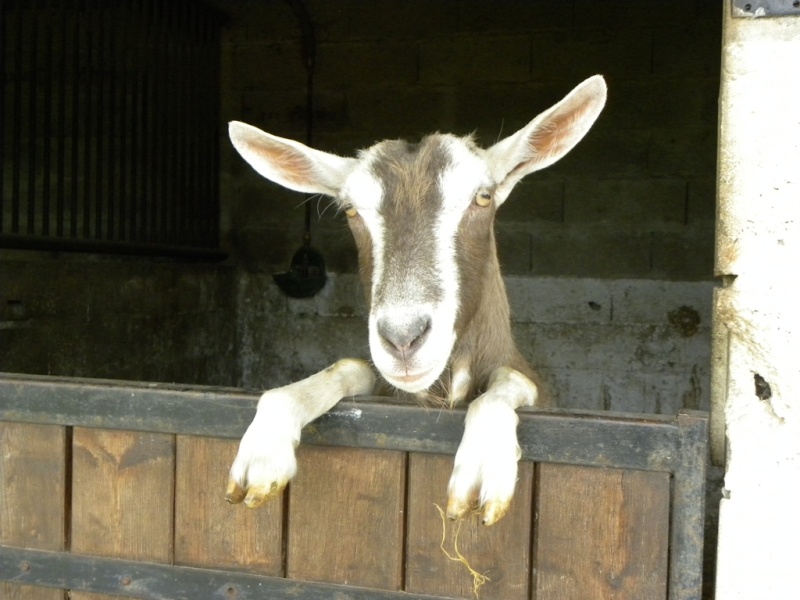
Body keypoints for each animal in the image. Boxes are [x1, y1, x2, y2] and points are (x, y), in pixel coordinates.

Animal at [225, 75, 608, 524]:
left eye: (483, 196)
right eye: (351, 210)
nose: (403, 338)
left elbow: (510, 380)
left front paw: (484, 462)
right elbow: (348, 367)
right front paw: (264, 450)